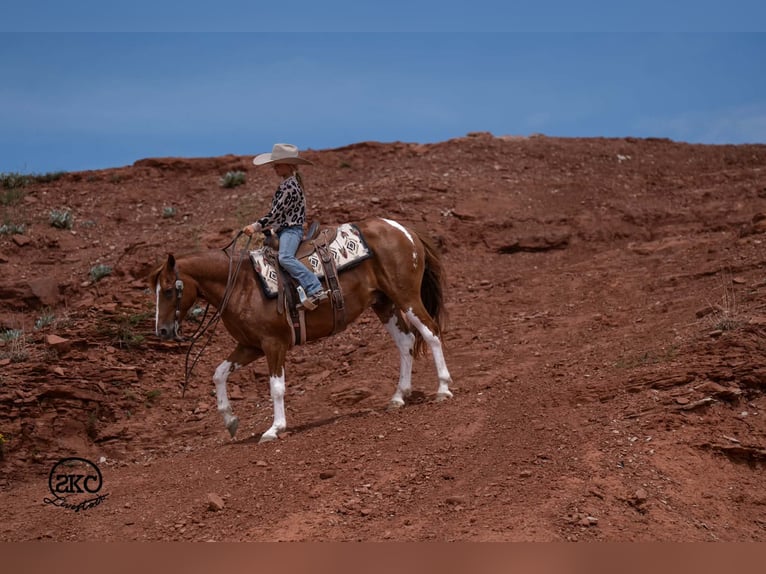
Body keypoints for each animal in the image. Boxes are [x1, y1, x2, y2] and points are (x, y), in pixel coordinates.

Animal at [150, 217, 454, 443]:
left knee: (430, 333)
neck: (241, 285)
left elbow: (276, 387)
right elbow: (219, 374)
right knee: (405, 342)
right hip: (385, 303)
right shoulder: (250, 346)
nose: (162, 331)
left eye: (169, 290)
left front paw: (275, 429)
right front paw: (230, 420)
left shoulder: (273, 344)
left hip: (406, 296)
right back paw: (398, 396)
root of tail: (404, 230)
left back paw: (443, 389)